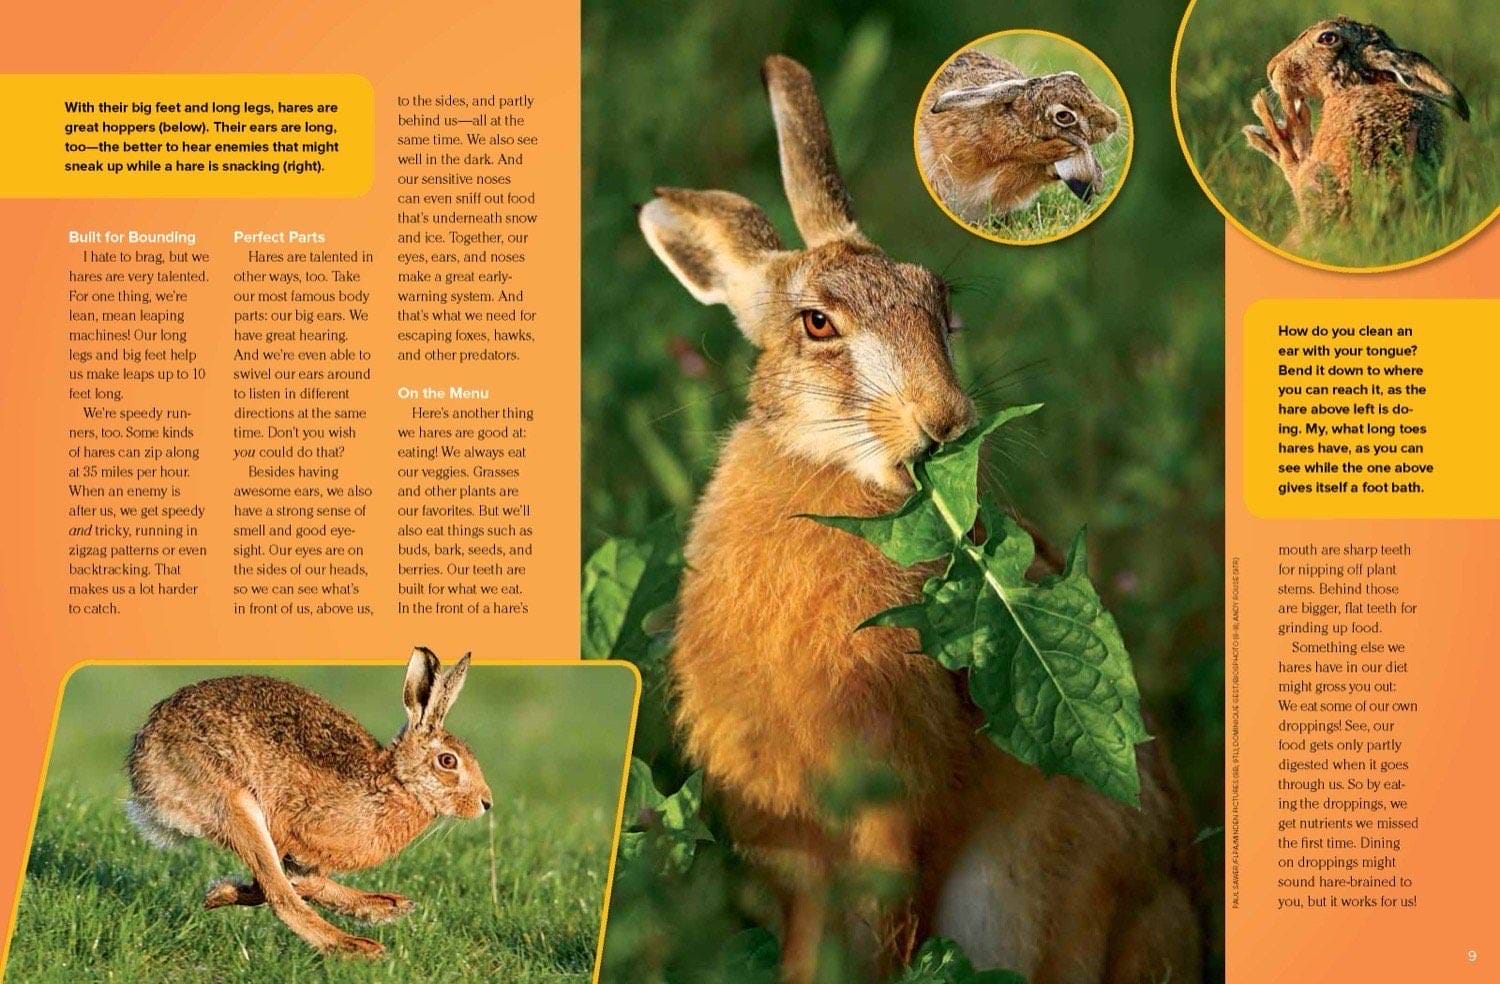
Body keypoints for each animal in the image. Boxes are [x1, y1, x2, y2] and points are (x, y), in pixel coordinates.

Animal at [126, 648, 491, 958]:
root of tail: (145, 758)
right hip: (235, 804)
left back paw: (387, 906)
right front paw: (221, 892)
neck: (393, 783)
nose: (485, 803)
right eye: (448, 761)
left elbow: (302, 880)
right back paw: (356, 946)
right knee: (280, 896)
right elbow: (282, 884)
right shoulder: (292, 827)